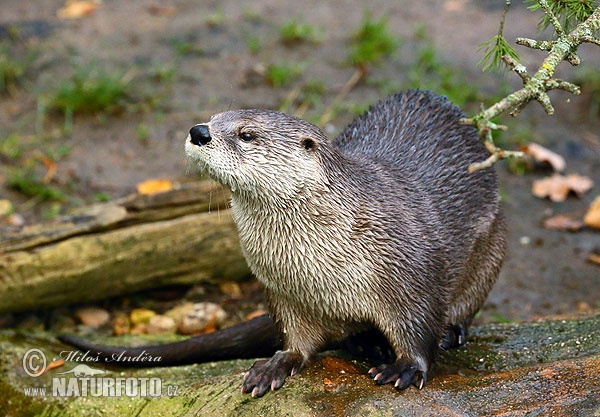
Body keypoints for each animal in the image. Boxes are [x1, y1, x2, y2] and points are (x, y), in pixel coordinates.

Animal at [58, 90, 506, 396]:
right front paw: (277, 365)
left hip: (494, 244)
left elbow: (418, 327)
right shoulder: (281, 289)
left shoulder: (409, 270)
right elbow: (296, 337)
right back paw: (365, 342)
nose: (198, 131)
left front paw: (406, 368)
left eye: (246, 134)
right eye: (213, 118)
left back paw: (449, 332)